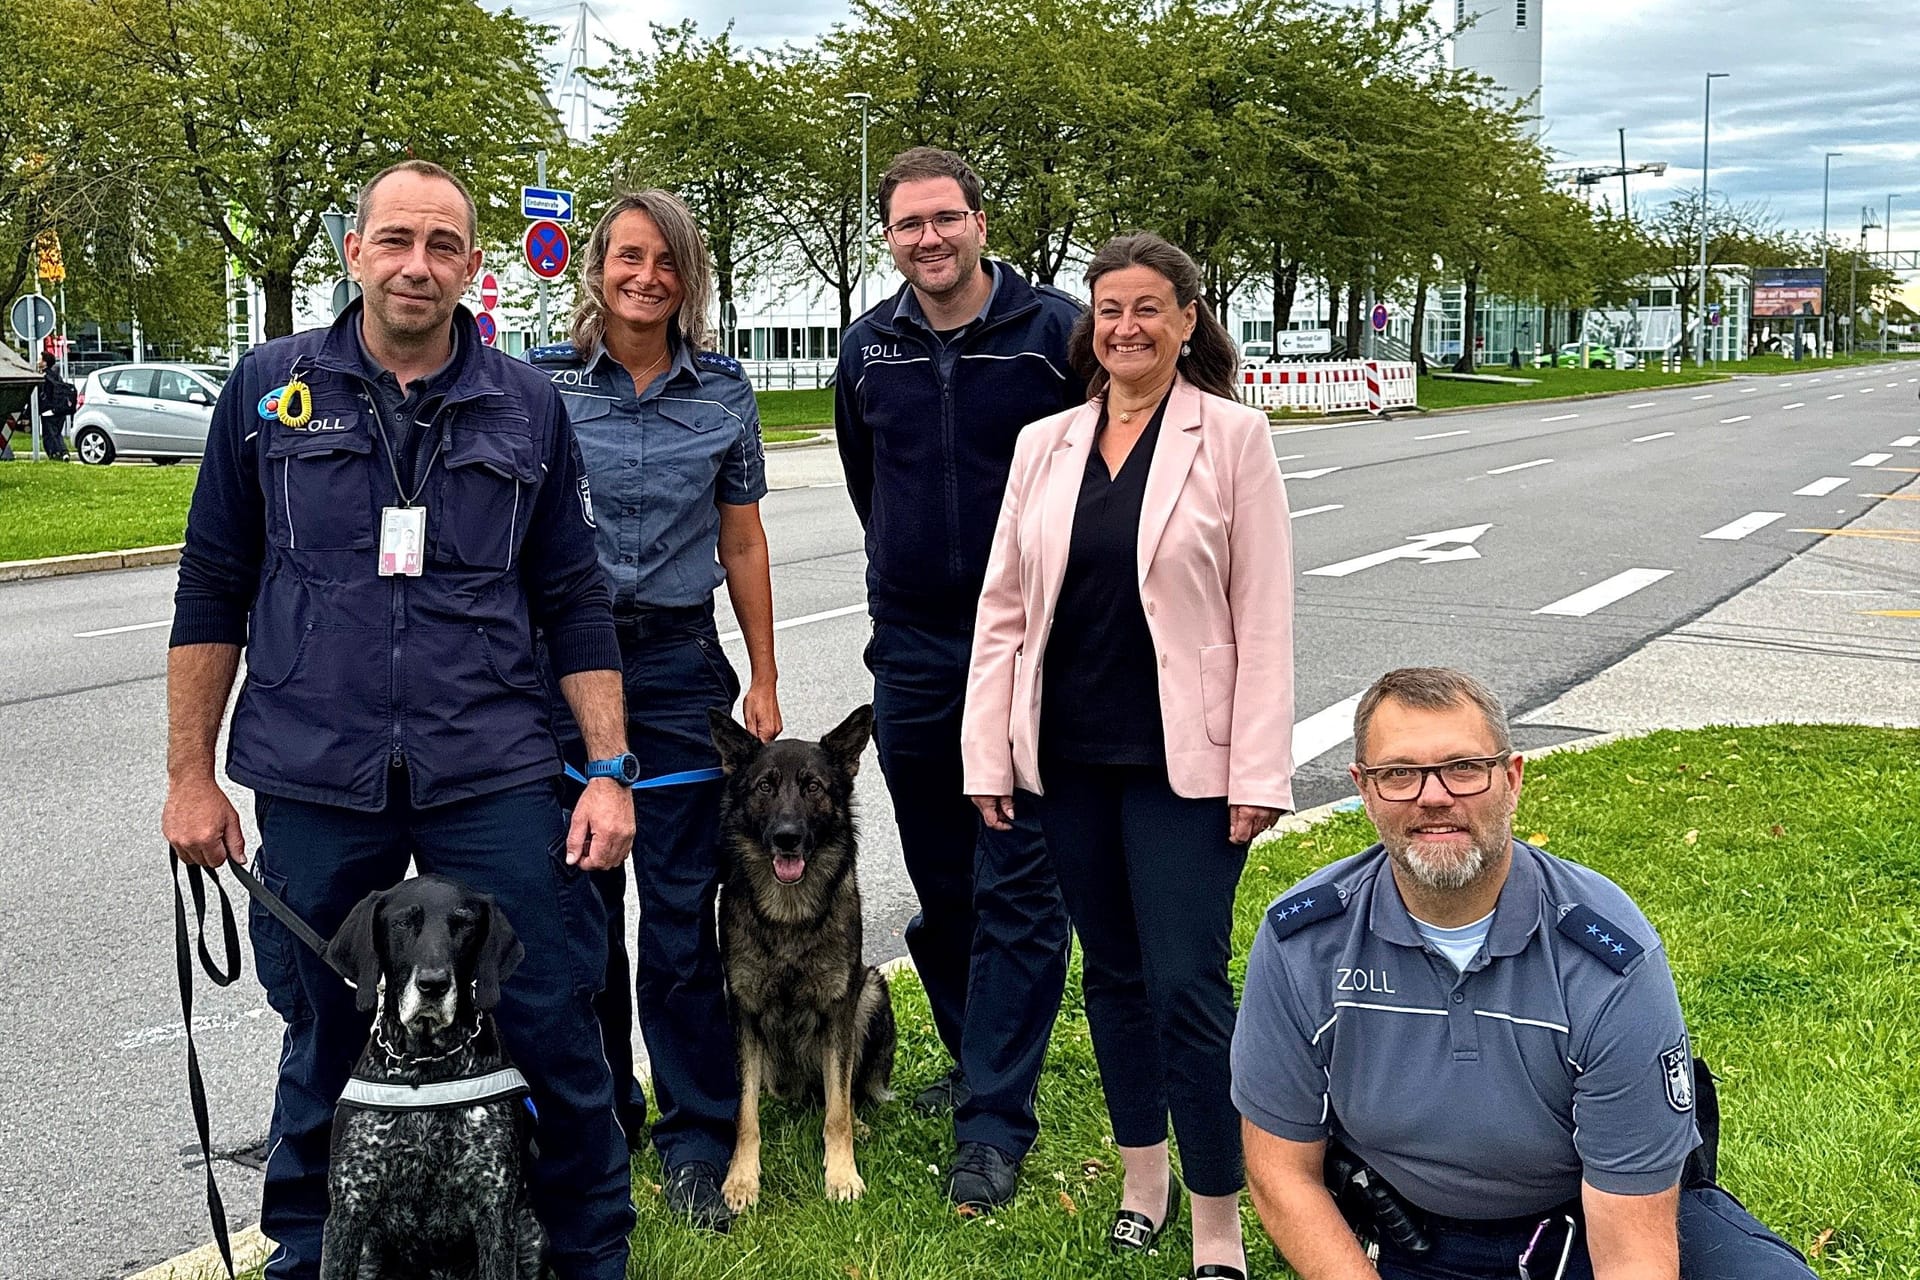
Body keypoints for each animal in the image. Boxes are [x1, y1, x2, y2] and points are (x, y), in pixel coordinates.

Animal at [312, 875, 541, 1274]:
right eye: (403, 922)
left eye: (464, 924)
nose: (433, 984)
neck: (426, 1063)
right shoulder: (348, 1210)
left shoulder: (495, 1211)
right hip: (369, 1251)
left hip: (530, 1232)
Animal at [710, 706, 894, 1205]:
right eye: (765, 786)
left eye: (813, 786)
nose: (787, 837)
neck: (788, 914)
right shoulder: (743, 1012)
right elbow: (745, 1113)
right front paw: (742, 1177)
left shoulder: (839, 1009)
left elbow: (838, 1110)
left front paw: (842, 1173)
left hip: (872, 991)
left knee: (843, 1094)